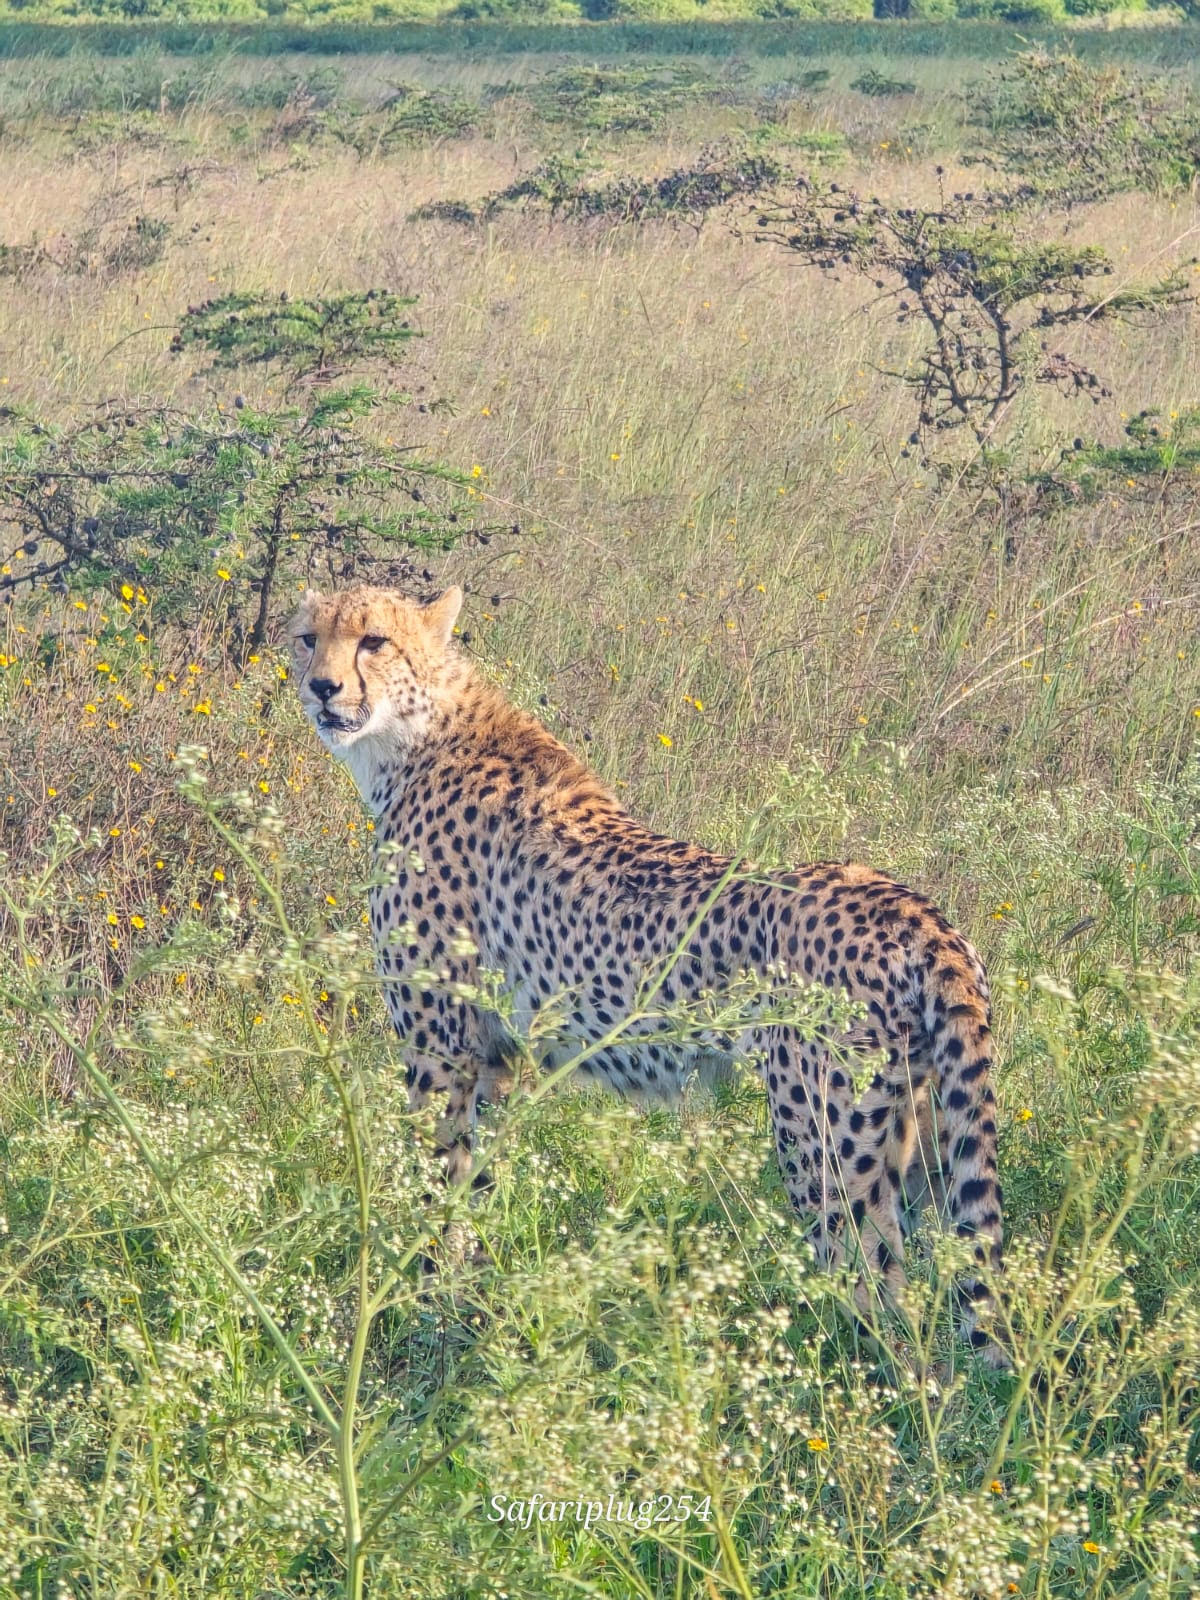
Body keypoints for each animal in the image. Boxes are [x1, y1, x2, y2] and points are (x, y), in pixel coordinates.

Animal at [290, 583, 1004, 1353]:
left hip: (824, 1140)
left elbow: (433, 1182)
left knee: (880, 1293)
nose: (322, 687)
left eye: (374, 641)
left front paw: (411, 1303)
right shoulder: (498, 1054)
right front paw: (462, 1303)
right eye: (308, 638)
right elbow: (475, 1186)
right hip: (922, 1130)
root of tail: (916, 910)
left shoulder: (440, 1048)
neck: (415, 736)